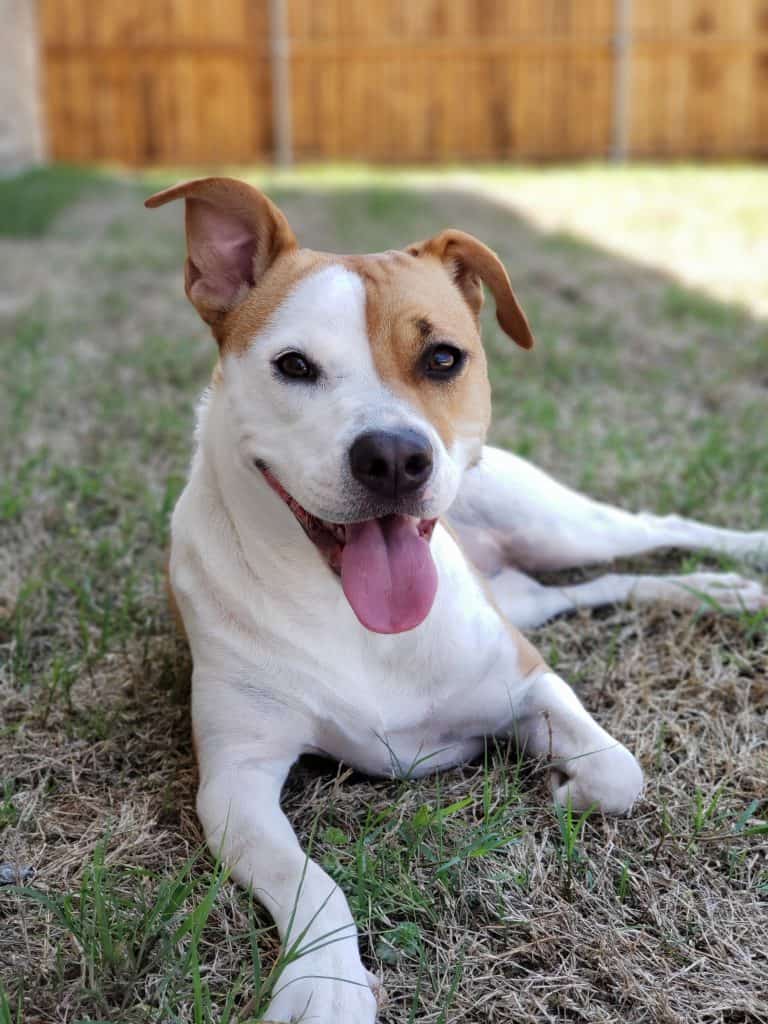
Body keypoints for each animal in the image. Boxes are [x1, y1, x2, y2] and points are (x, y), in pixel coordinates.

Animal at [145, 180, 768, 1019]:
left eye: (443, 358)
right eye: (294, 365)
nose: (393, 457)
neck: (348, 610)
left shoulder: (531, 683)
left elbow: (619, 773)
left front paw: (568, 792)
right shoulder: (236, 781)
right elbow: (307, 880)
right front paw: (324, 986)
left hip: (558, 529)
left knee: (654, 529)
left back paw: (742, 564)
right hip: (532, 593)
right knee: (607, 584)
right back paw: (719, 592)